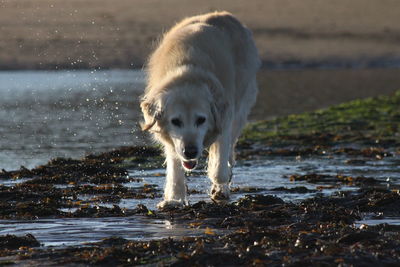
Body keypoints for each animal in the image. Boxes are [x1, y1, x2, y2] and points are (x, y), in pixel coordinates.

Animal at [140, 12, 260, 209]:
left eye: (201, 120)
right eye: (175, 121)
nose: (190, 151)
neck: (186, 73)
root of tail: (225, 14)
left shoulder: (224, 121)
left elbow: (219, 165)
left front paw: (220, 187)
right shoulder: (172, 139)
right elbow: (175, 168)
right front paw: (174, 199)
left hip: (241, 105)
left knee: (229, 149)